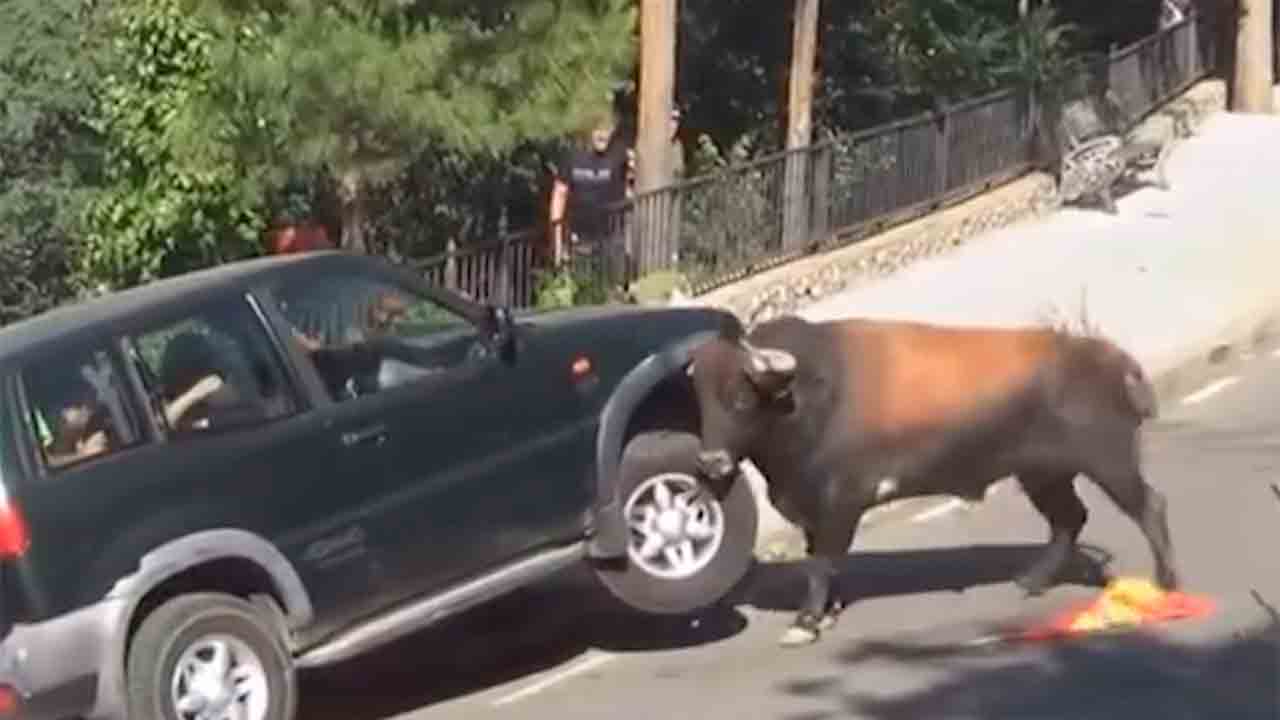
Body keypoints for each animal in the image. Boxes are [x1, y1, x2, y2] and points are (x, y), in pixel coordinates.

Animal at [691, 313, 1177, 645]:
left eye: (740, 397)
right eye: (699, 401)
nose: (712, 462)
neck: (811, 392)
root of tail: (1105, 355)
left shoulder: (839, 506)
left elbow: (821, 563)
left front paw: (805, 622)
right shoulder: (815, 511)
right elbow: (823, 562)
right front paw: (824, 612)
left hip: (1108, 463)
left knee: (1148, 507)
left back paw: (1166, 583)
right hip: (1042, 475)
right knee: (1068, 520)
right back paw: (1031, 581)